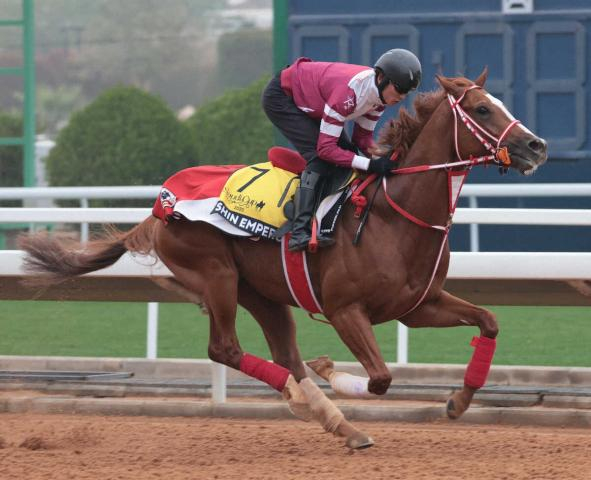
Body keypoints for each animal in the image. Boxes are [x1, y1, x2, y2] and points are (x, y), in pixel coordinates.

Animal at [20, 70, 548, 450]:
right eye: (482, 108)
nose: (536, 145)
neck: (392, 215)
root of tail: (159, 205)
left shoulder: (418, 306)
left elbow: (489, 321)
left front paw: (458, 400)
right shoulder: (345, 310)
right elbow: (380, 379)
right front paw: (334, 370)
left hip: (263, 294)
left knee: (284, 356)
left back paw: (340, 424)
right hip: (217, 276)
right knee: (226, 350)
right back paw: (306, 401)